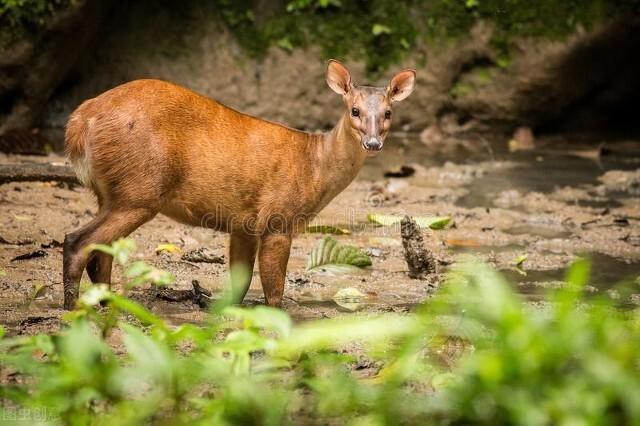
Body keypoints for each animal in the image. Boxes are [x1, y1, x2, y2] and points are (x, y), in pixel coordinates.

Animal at [63, 58, 416, 310]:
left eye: (388, 112)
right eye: (354, 110)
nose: (373, 142)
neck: (314, 165)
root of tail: (81, 119)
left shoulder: (244, 224)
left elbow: (239, 284)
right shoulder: (278, 218)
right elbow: (274, 291)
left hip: (111, 192)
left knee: (101, 252)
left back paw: (105, 304)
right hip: (139, 190)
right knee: (78, 241)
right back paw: (72, 308)